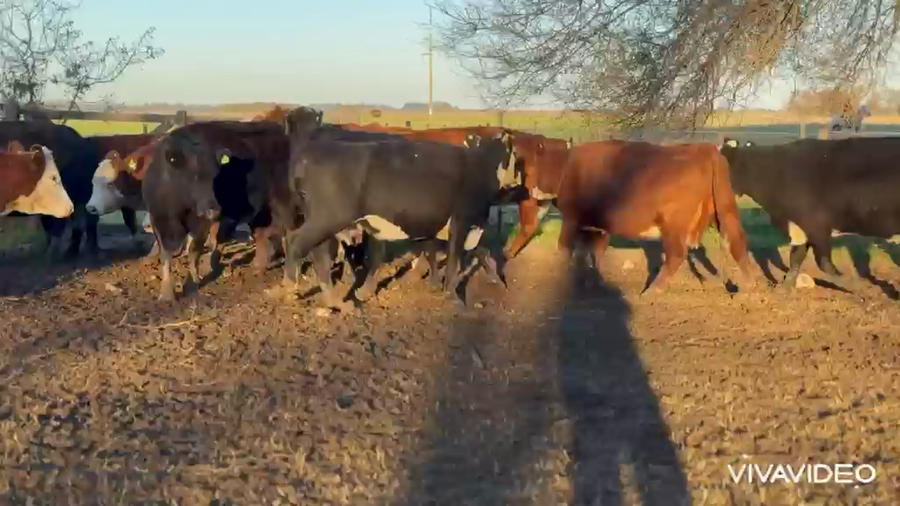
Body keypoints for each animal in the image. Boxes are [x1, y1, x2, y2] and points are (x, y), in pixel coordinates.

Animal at [278, 108, 520, 311]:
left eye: (508, 153)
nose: (515, 181)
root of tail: (309, 152)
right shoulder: (461, 220)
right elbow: (453, 259)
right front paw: (452, 297)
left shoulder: (443, 222)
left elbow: (470, 251)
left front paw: (495, 280)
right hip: (328, 218)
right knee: (295, 242)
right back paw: (292, 288)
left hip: (323, 221)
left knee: (317, 253)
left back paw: (334, 300)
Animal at [555, 140, 754, 294]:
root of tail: (705, 149)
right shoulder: (599, 227)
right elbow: (596, 252)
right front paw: (597, 281)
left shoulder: (571, 219)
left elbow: (565, 249)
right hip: (725, 210)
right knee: (737, 241)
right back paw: (750, 285)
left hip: (673, 226)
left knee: (676, 254)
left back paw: (653, 289)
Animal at [720, 137, 900, 294]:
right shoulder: (798, 226)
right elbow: (796, 258)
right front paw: (785, 287)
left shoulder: (817, 226)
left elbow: (824, 263)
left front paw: (853, 285)